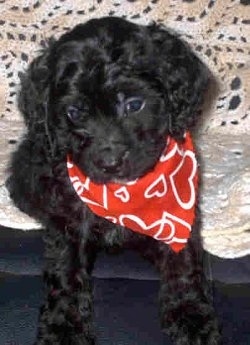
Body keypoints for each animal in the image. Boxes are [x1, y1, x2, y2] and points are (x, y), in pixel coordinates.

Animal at [7, 16, 221, 344]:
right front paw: (63, 326)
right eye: (75, 112)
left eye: (134, 104)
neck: (125, 195)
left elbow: (183, 262)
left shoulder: (180, 217)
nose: (109, 164)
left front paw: (191, 316)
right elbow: (65, 269)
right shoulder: (67, 217)